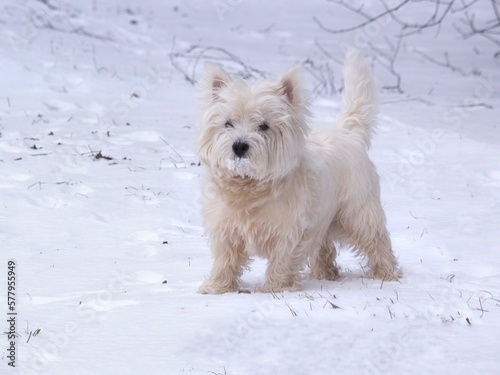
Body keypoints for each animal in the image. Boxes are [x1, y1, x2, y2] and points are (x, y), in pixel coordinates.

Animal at [196, 49, 402, 294]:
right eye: (228, 123)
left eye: (263, 126)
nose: (239, 146)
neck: (249, 187)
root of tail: (348, 133)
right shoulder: (226, 229)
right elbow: (225, 260)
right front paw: (217, 288)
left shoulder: (289, 231)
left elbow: (281, 260)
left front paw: (276, 287)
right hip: (324, 218)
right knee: (324, 246)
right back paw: (325, 273)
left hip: (357, 211)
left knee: (376, 239)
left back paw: (386, 273)